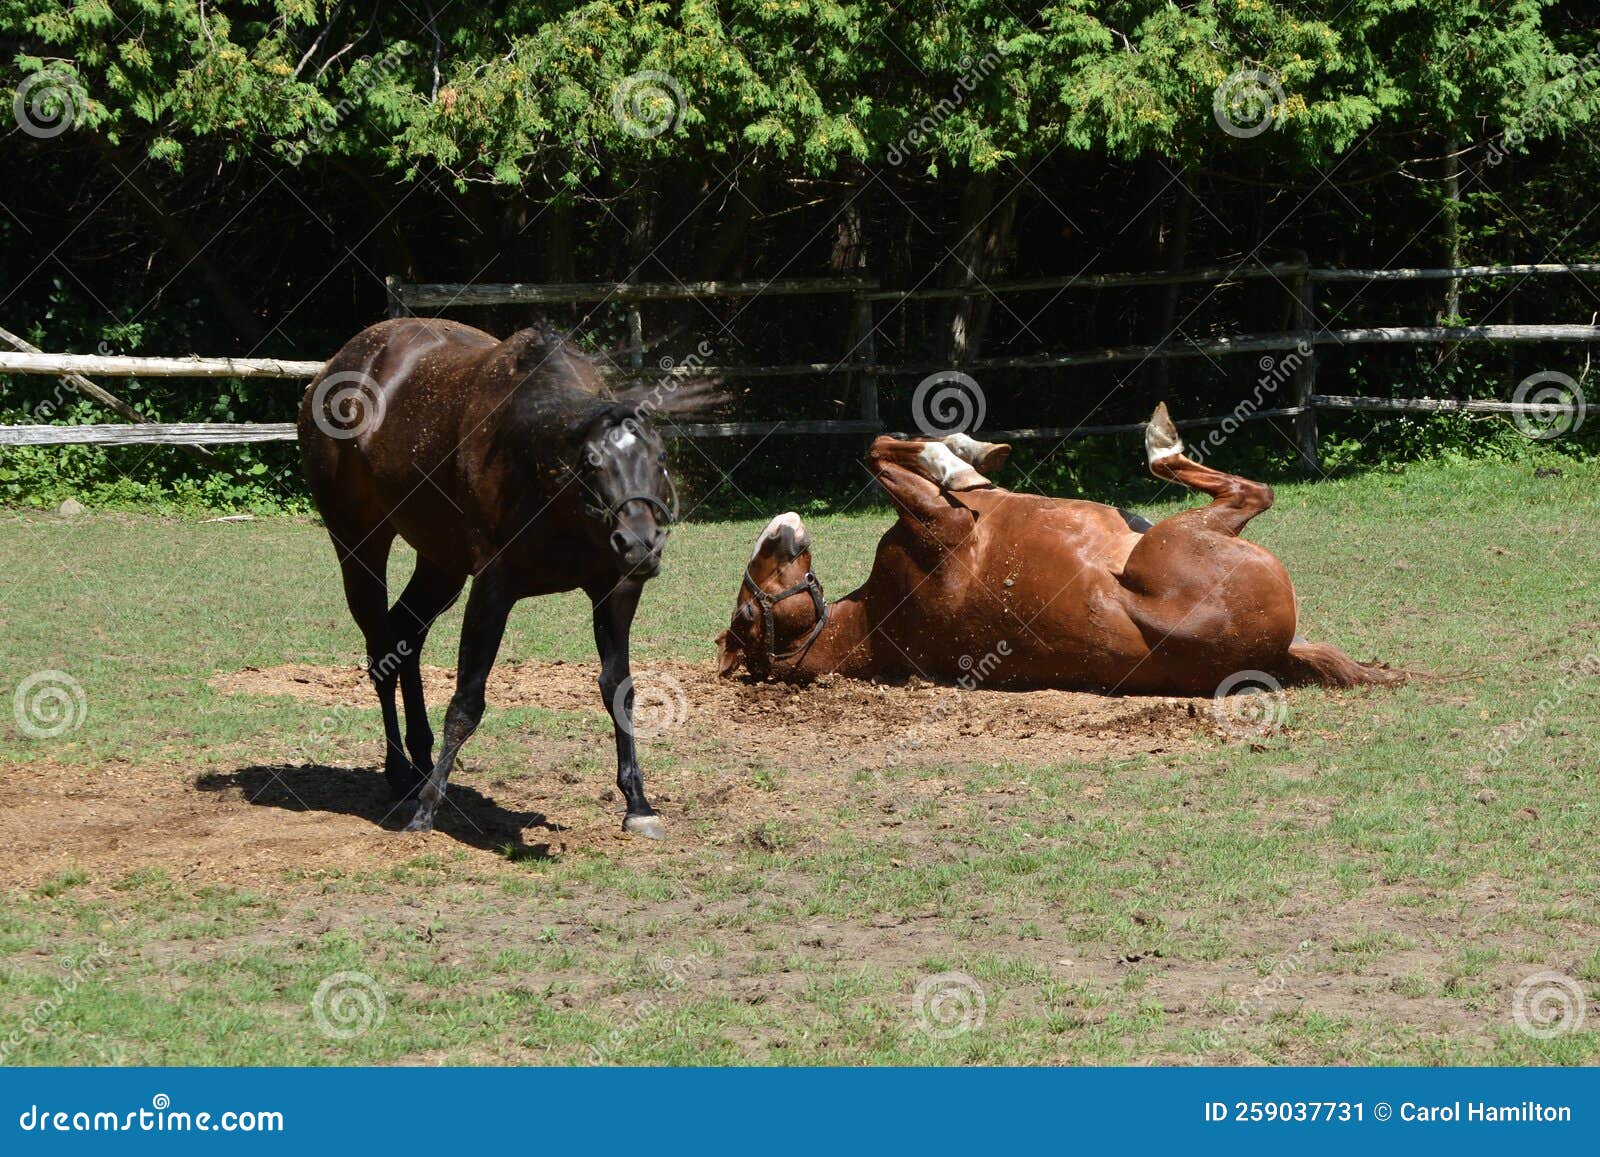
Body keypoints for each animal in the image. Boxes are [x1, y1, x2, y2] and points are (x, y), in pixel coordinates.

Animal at [300, 317, 711, 838]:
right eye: (591, 463)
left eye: (659, 459)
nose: (640, 546)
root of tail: (336, 368)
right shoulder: (492, 590)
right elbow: (467, 702)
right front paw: (427, 812)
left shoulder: (615, 591)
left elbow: (619, 689)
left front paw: (637, 803)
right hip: (359, 546)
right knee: (382, 650)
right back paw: (402, 776)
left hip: (440, 564)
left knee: (405, 634)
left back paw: (420, 763)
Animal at [717, 404, 1401, 695]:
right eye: (747, 615)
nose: (777, 527)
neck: (885, 618)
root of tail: (1274, 651)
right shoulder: (943, 524)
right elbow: (882, 450)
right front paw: (962, 457)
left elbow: (884, 445)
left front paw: (968, 453)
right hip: (1172, 539)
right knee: (1247, 490)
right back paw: (1159, 441)